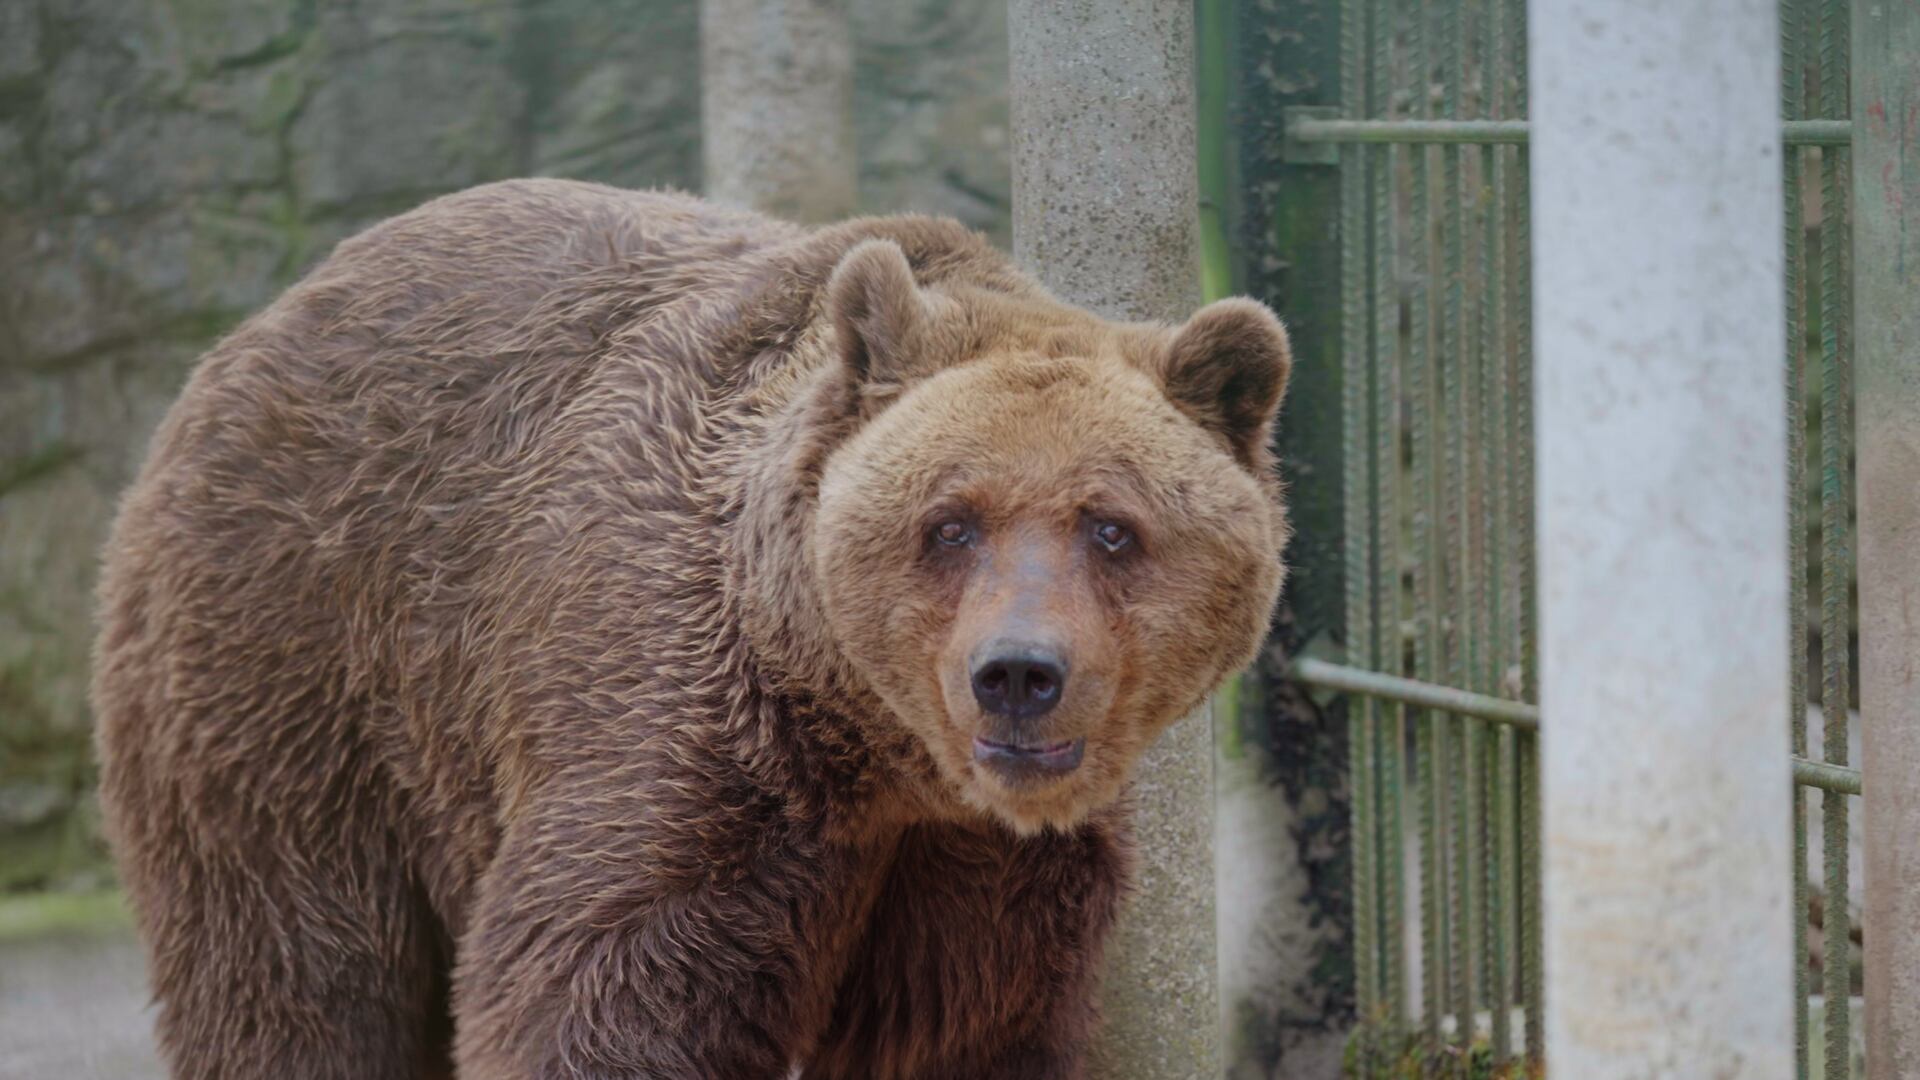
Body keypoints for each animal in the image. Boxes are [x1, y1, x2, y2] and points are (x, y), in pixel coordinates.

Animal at [91, 178, 1291, 1079]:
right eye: (950, 522)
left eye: (1112, 527)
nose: (1018, 674)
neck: (872, 750)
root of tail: (251, 332)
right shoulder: (678, 725)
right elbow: (602, 986)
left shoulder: (972, 875)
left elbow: (965, 1022)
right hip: (296, 655)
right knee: (298, 966)